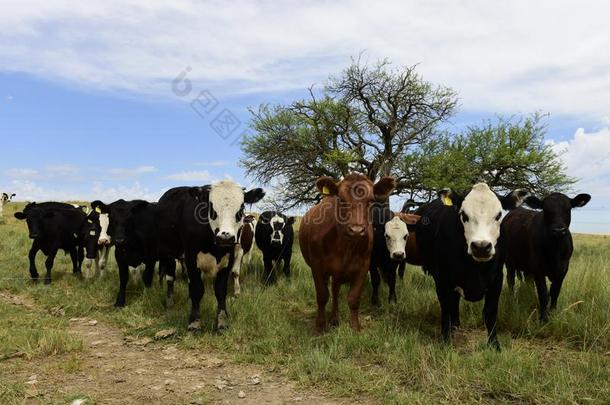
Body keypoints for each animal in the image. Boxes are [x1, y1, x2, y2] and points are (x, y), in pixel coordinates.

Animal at [154, 181, 264, 330]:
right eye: (211, 208)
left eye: (241, 209)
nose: (225, 237)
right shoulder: (191, 258)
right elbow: (196, 289)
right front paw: (194, 322)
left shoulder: (229, 258)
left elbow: (221, 289)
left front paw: (222, 321)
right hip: (167, 252)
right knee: (170, 278)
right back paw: (170, 302)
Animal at [298, 172, 394, 332]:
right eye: (341, 199)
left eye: (371, 200)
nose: (356, 230)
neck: (345, 247)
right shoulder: (317, 266)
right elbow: (322, 295)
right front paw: (320, 326)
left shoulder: (363, 266)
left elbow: (354, 298)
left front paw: (355, 327)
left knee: (335, 290)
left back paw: (334, 318)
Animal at [416, 183, 524, 348]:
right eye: (464, 215)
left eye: (498, 215)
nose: (481, 247)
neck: (475, 268)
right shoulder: (442, 278)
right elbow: (446, 308)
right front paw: (445, 340)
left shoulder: (497, 278)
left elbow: (490, 312)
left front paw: (494, 345)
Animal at [498, 192, 588, 322]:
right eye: (545, 210)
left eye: (568, 208)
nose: (558, 230)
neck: (555, 251)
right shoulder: (538, 269)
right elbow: (544, 294)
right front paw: (543, 318)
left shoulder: (563, 270)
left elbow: (555, 292)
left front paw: (554, 312)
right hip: (509, 261)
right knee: (511, 281)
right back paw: (512, 300)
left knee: (528, 281)